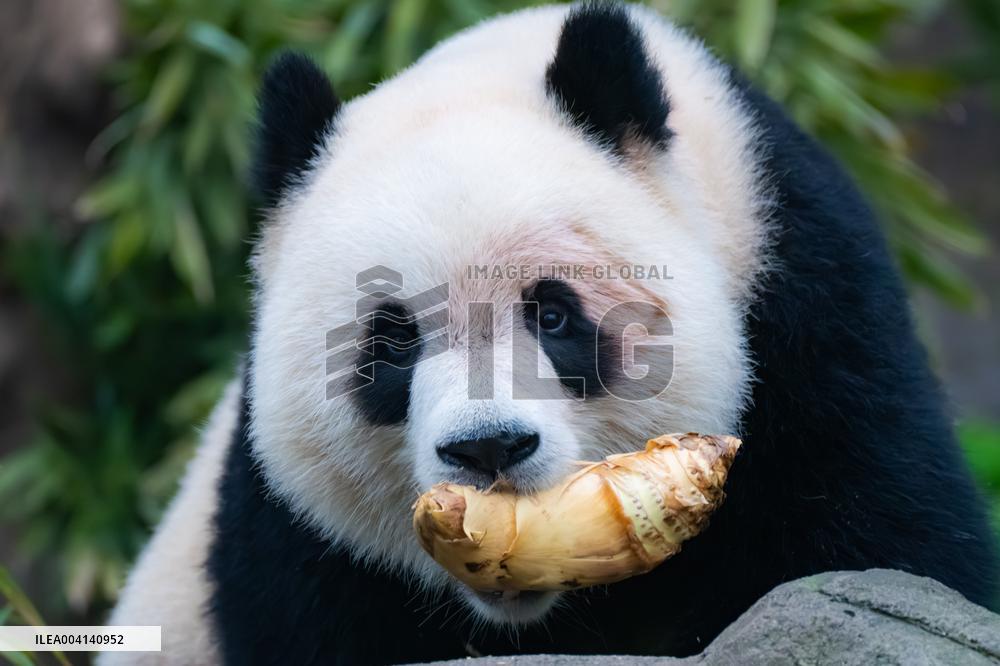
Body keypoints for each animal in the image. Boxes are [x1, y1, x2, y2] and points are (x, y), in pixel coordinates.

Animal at [103, 3, 998, 664]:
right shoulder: (289, 536)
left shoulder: (809, 316)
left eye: (555, 315)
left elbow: (884, 544)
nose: (488, 449)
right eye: (391, 344)